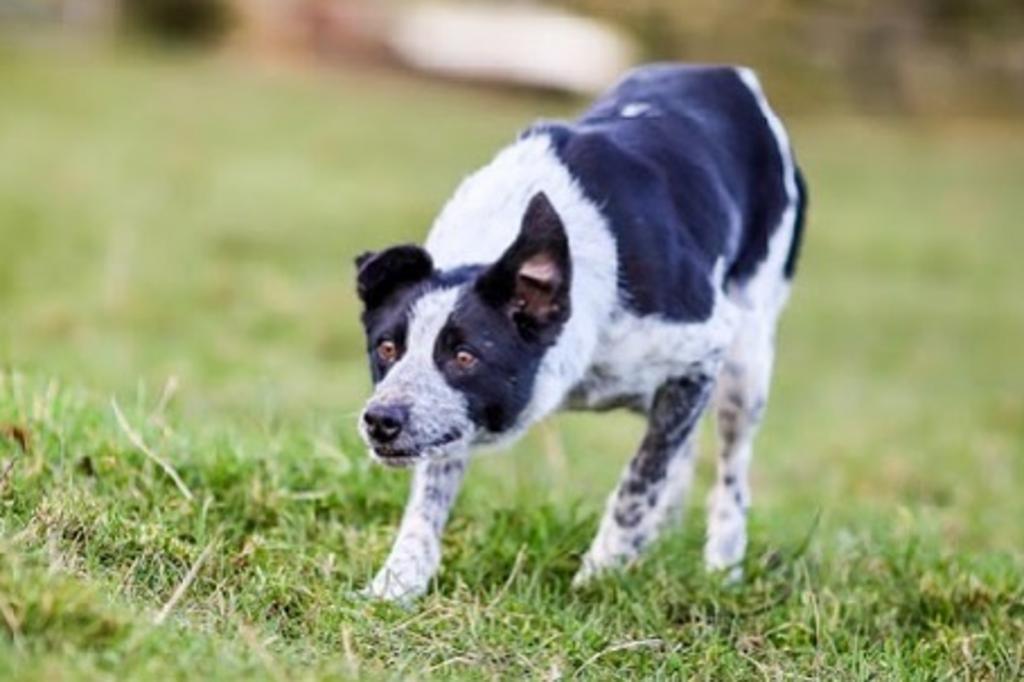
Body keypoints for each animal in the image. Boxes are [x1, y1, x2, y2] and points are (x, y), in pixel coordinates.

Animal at [352, 62, 806, 593]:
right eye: (386, 349)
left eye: (465, 357)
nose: (381, 420)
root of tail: (730, 74)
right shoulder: (450, 420)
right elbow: (429, 498)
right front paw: (397, 583)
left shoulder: (701, 351)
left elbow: (639, 481)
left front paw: (600, 576)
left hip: (744, 365)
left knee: (731, 473)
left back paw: (723, 569)